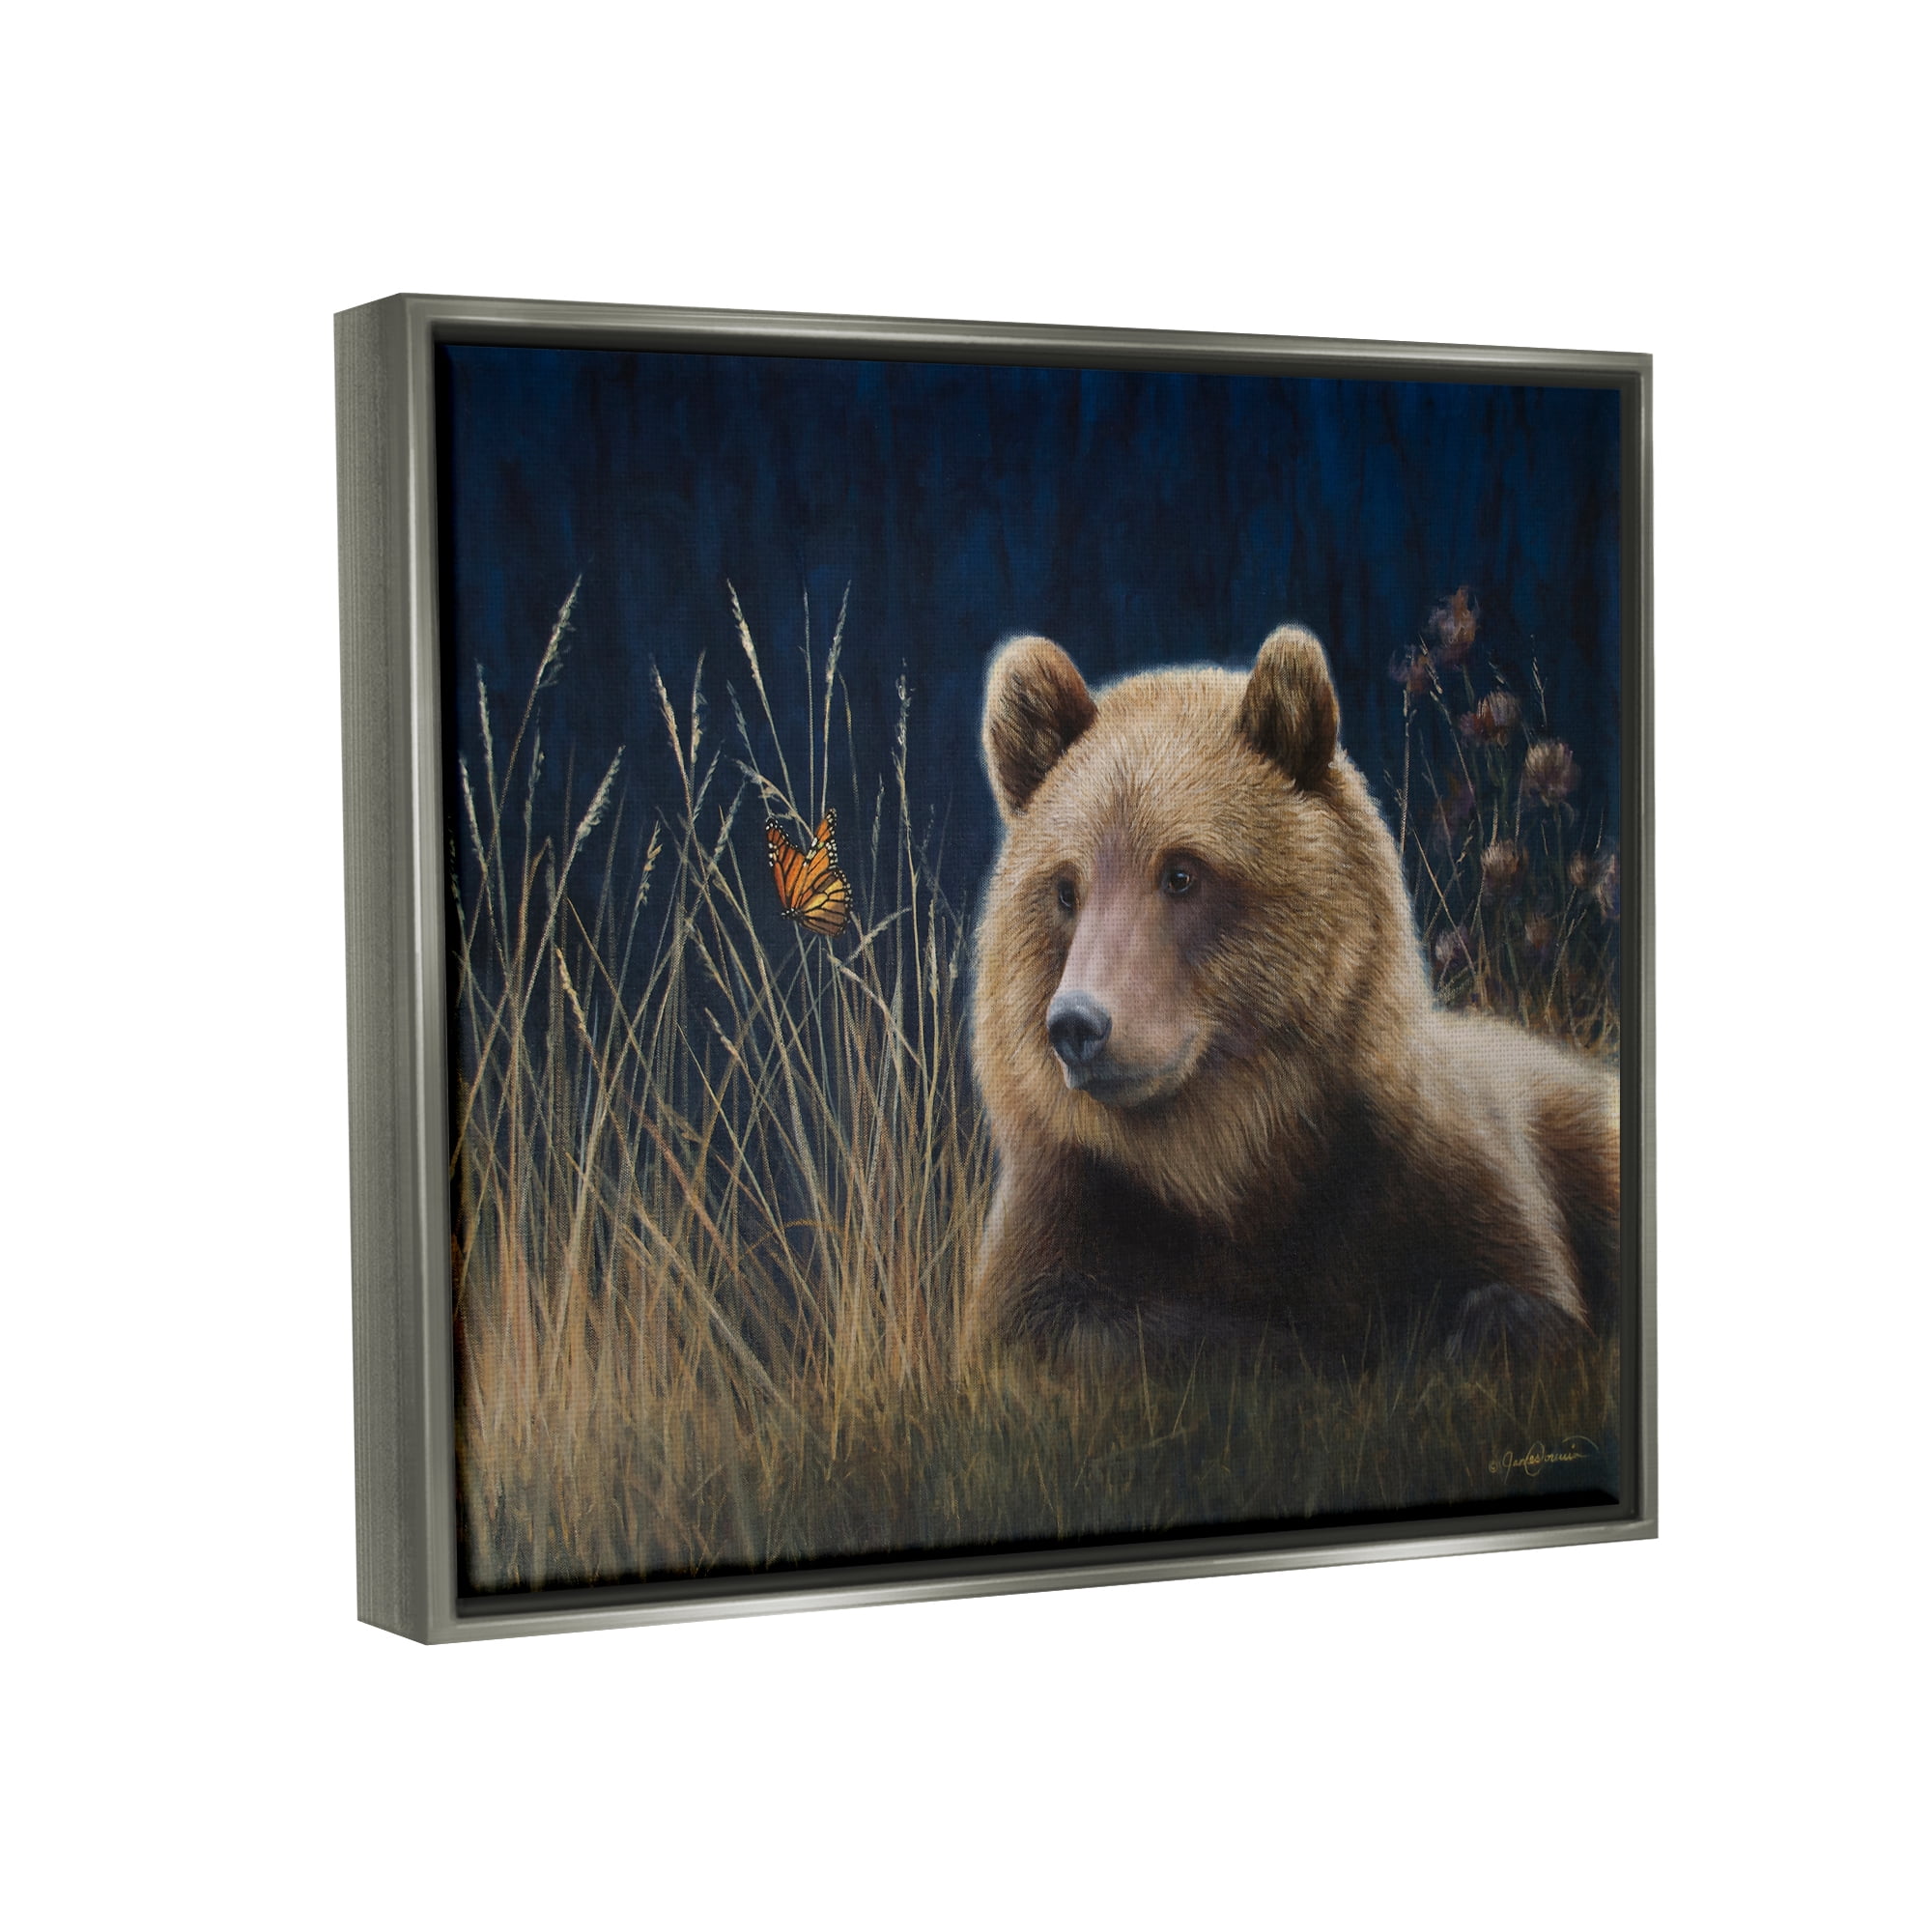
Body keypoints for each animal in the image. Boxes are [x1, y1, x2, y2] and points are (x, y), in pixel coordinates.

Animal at [966, 624, 1619, 1368]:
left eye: (1182, 872)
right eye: (1065, 888)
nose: (1078, 1024)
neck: (1228, 1156)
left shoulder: (1427, 1171)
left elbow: (1518, 1288)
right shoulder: (1069, 1208)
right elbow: (1060, 1329)